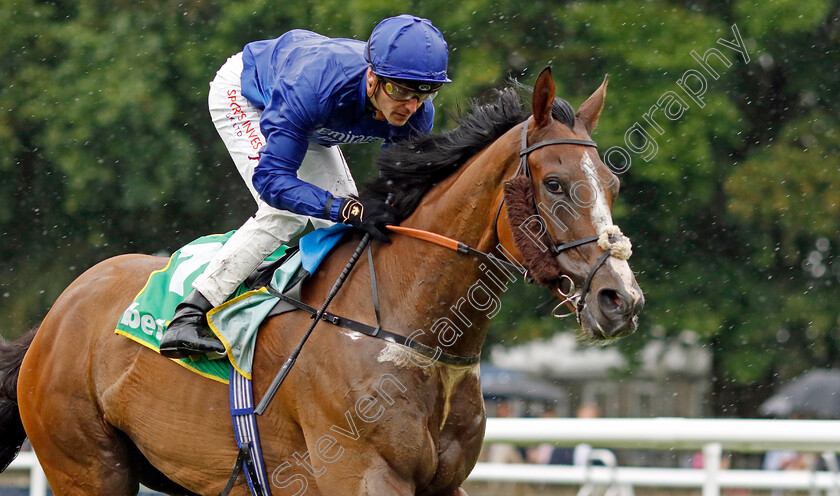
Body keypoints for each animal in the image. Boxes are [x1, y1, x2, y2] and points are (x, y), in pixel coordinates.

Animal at [0, 70, 644, 496]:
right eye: (555, 184)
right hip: (87, 467)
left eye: (612, 183)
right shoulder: (359, 475)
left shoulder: (444, 484)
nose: (621, 299)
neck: (405, 331)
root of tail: (55, 315)